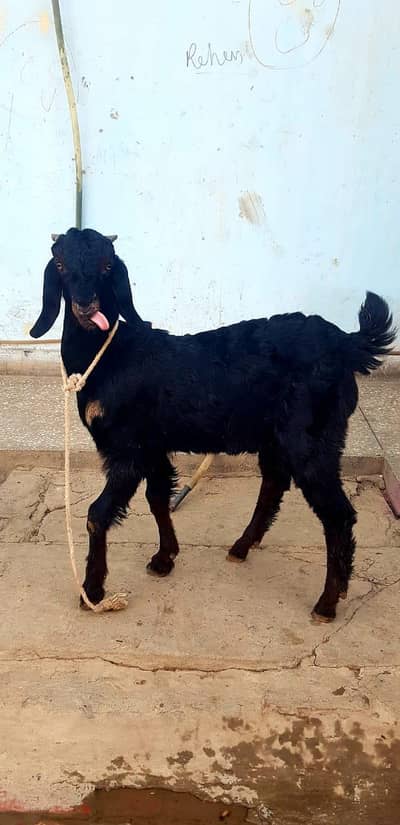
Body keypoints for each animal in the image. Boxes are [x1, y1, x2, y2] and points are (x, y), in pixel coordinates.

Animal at [30, 228, 395, 621]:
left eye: (107, 265)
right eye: (60, 264)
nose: (86, 307)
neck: (110, 355)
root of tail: (345, 343)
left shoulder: (128, 447)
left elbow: (98, 513)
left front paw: (93, 592)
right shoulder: (153, 444)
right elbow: (158, 496)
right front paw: (164, 559)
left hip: (312, 438)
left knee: (337, 514)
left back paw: (327, 602)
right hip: (275, 436)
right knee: (274, 483)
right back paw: (242, 546)